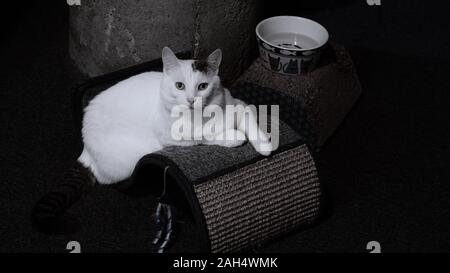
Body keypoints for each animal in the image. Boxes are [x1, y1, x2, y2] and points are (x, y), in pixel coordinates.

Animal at [78, 46, 270, 184]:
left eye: (203, 86)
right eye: (179, 86)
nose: (191, 100)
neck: (203, 115)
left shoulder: (238, 103)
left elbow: (249, 119)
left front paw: (265, 146)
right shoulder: (170, 136)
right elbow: (203, 137)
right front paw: (234, 136)